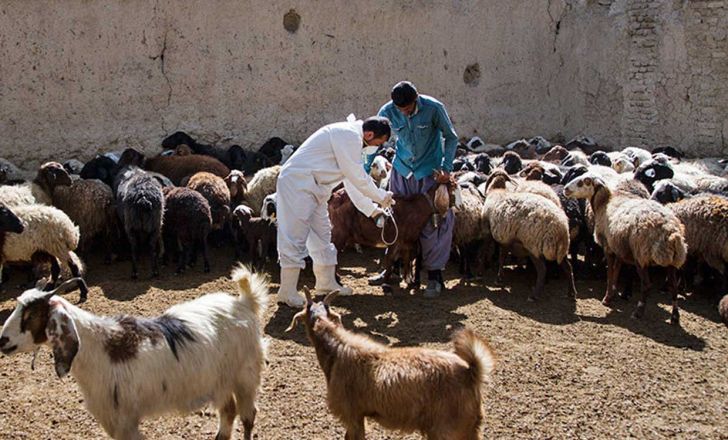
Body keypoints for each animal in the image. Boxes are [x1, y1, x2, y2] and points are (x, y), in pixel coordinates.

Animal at [0, 264, 268, 440]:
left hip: (245, 376)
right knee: (229, 411)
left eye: (31, 315)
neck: (100, 348)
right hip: (221, 380)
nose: (3, 340)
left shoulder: (124, 420)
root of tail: (244, 302)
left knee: (248, 415)